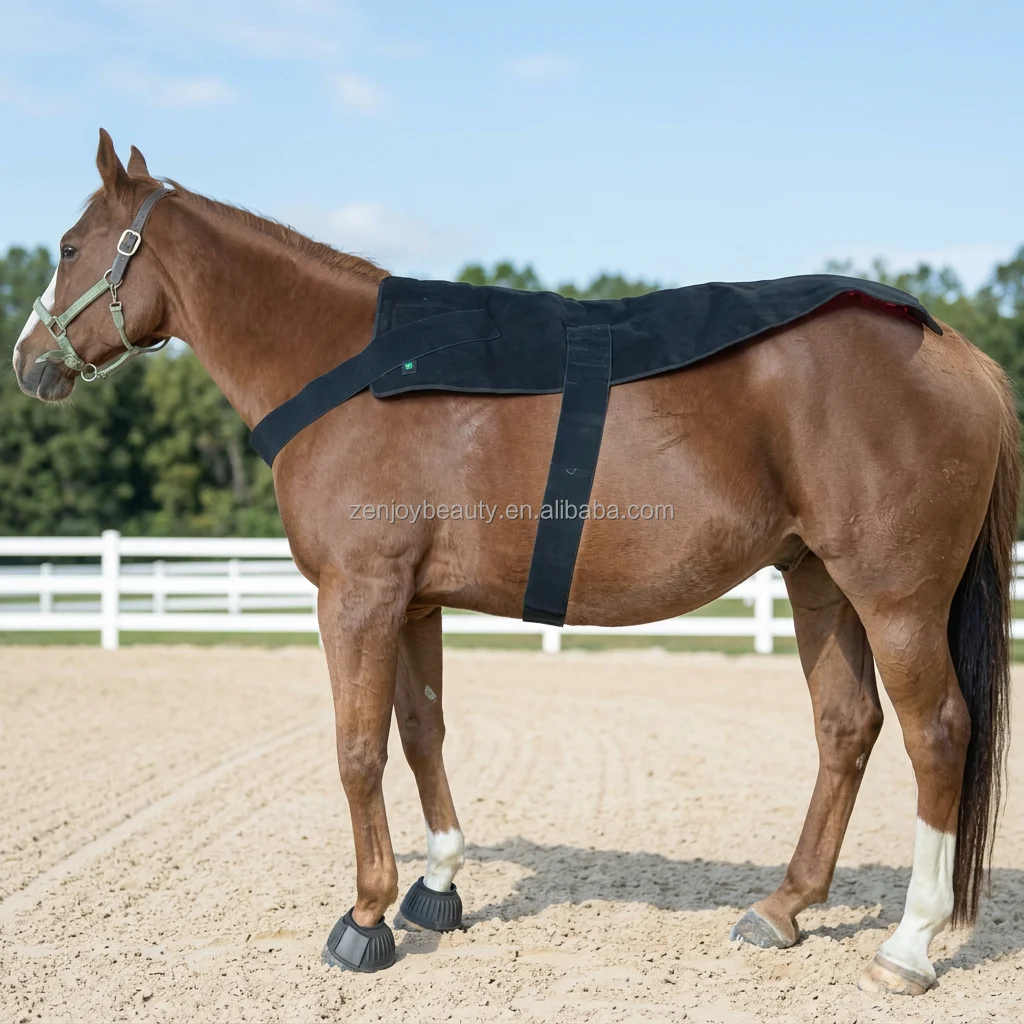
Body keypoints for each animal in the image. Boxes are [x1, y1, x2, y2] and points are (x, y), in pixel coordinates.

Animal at [12, 130, 1018, 994]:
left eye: (68, 246)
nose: (27, 362)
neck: (352, 366)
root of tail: (960, 355)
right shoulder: (413, 603)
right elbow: (422, 732)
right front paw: (437, 887)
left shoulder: (358, 596)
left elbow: (357, 749)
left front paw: (365, 917)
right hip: (819, 583)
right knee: (847, 728)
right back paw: (784, 907)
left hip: (896, 599)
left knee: (937, 736)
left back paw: (907, 945)